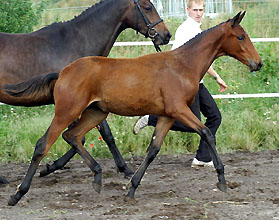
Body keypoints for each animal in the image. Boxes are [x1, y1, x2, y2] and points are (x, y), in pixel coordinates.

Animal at [8, 11, 262, 205]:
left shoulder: (168, 116)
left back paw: (97, 176)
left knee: (72, 136)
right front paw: (221, 179)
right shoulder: (179, 110)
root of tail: (63, 72)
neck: (182, 65)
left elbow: (153, 149)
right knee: (43, 144)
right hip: (66, 111)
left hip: (95, 112)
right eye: (240, 37)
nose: (258, 63)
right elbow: (207, 132)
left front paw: (132, 188)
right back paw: (18, 193)